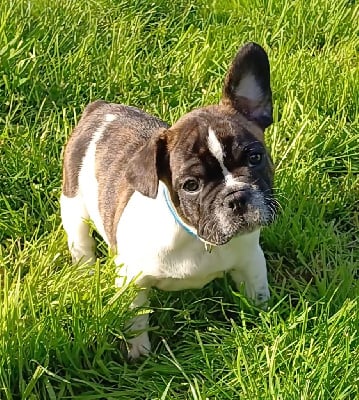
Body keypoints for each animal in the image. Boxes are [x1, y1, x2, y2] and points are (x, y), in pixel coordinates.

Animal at [60, 43, 278, 360]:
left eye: (255, 157)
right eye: (191, 186)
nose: (236, 197)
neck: (198, 238)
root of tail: (100, 110)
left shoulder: (251, 261)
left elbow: (257, 296)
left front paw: (262, 321)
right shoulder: (132, 279)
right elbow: (136, 320)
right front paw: (139, 354)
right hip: (73, 206)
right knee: (81, 242)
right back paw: (85, 270)